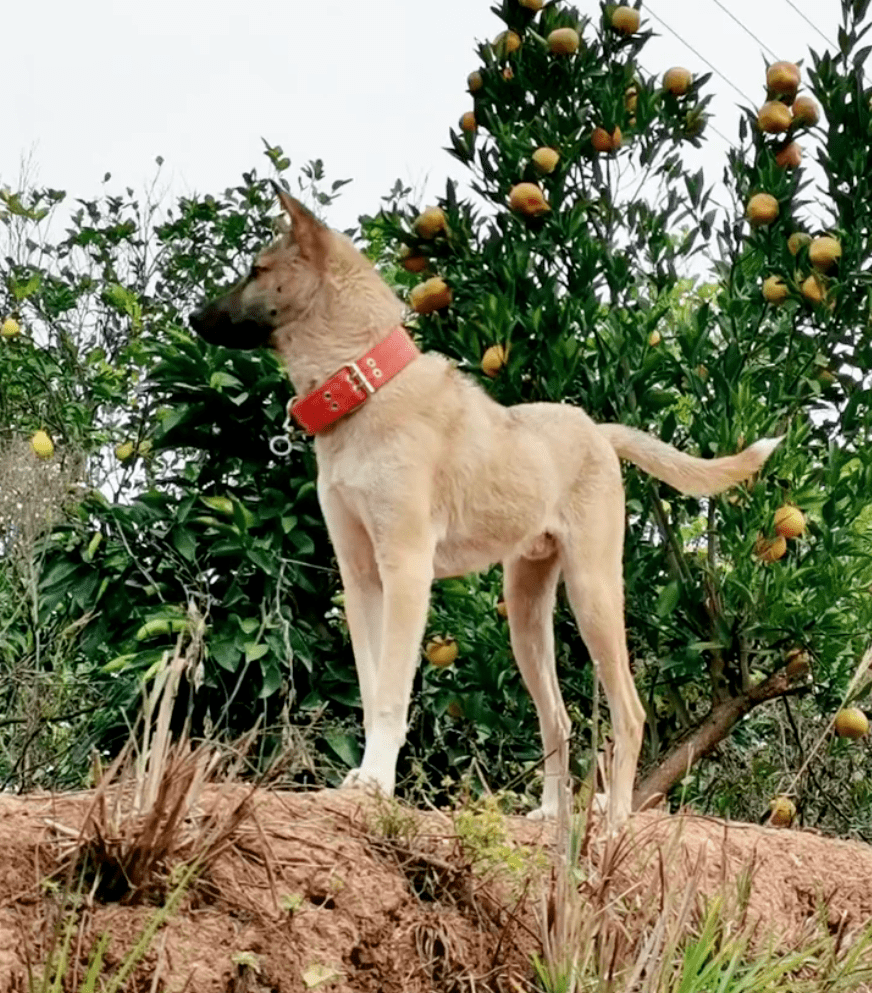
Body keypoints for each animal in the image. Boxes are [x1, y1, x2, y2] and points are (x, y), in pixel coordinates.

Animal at [189, 190, 776, 824]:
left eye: (257, 270)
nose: (193, 320)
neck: (364, 389)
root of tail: (597, 430)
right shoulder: (362, 578)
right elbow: (371, 690)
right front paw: (366, 777)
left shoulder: (406, 570)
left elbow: (392, 694)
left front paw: (376, 783)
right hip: (525, 610)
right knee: (558, 717)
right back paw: (550, 814)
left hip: (593, 591)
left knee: (629, 710)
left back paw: (616, 812)